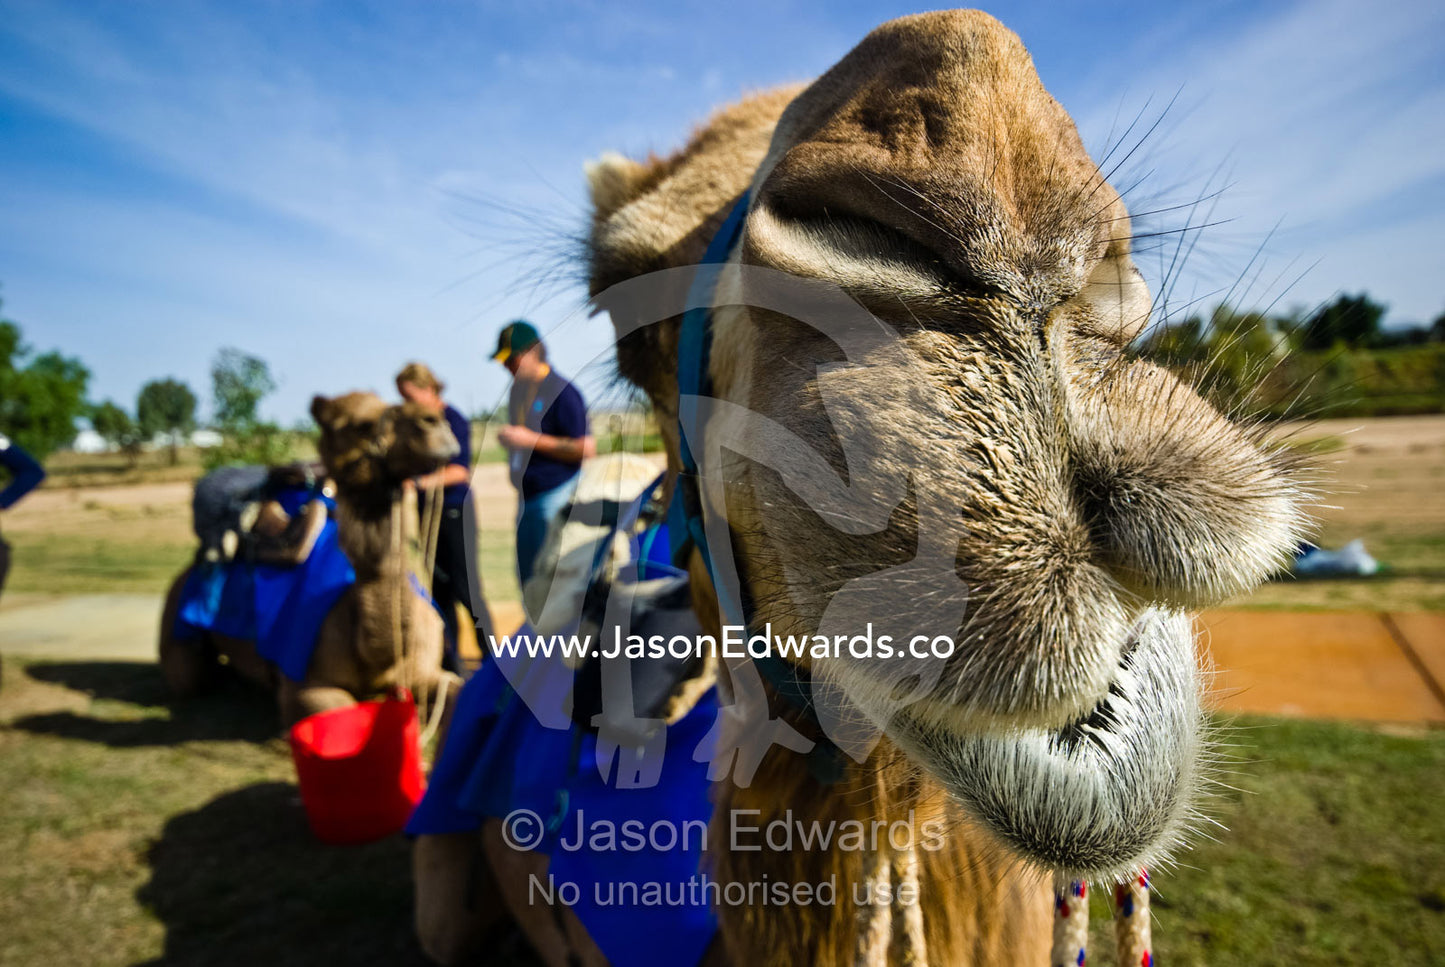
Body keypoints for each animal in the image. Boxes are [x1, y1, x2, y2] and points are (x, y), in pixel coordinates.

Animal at [159, 391, 464, 727]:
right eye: (359, 425)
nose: (434, 422)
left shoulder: (424, 670)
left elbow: (457, 692)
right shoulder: (303, 684)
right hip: (177, 609)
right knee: (187, 677)